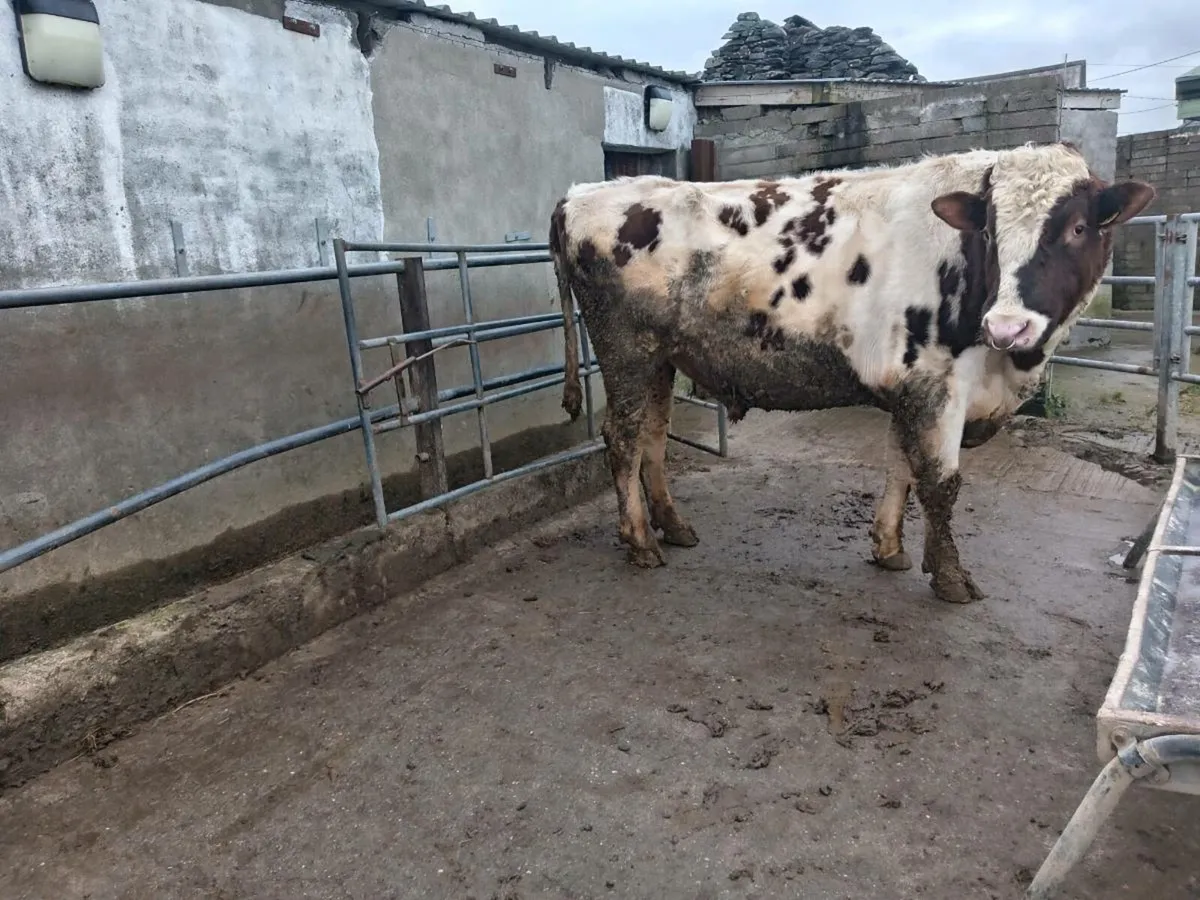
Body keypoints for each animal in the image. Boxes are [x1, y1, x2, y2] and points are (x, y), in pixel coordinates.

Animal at [548, 142, 1154, 604]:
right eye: (990, 234)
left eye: (1079, 228)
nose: (1008, 325)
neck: (1004, 368)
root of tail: (581, 193)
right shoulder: (936, 385)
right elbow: (940, 483)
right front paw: (951, 578)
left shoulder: (911, 386)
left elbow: (900, 467)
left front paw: (889, 548)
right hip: (626, 350)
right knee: (623, 437)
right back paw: (639, 541)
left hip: (659, 357)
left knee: (653, 436)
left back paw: (672, 527)